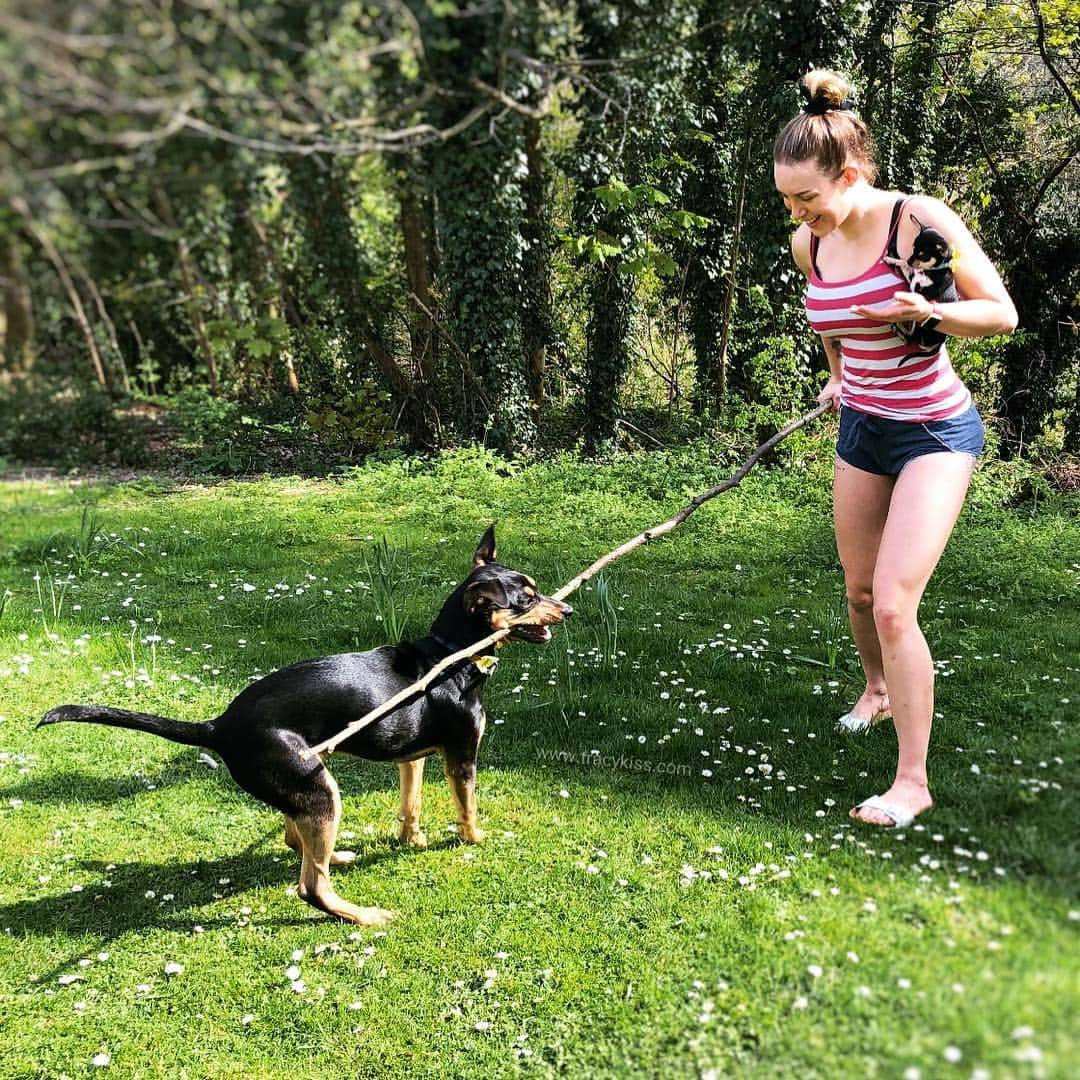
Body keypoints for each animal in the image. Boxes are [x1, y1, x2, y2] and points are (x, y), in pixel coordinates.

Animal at [38, 527, 570, 924]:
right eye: (525, 599)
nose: (565, 608)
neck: (451, 654)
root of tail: (219, 726)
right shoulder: (461, 756)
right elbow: (467, 808)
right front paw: (475, 840)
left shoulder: (412, 757)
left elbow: (410, 805)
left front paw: (413, 841)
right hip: (317, 788)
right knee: (309, 886)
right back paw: (362, 915)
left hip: (308, 787)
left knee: (295, 840)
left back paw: (335, 857)